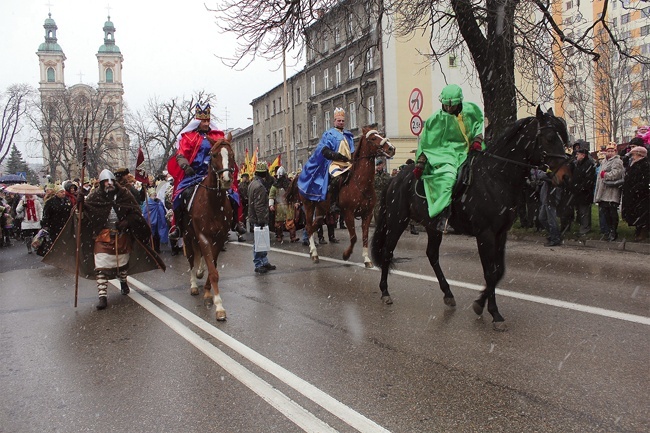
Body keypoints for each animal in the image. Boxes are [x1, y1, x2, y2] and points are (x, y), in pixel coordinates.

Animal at [178, 133, 234, 318]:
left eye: (231, 155)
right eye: (214, 155)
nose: (226, 180)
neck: (213, 203)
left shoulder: (219, 238)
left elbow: (213, 266)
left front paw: (210, 293)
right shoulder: (203, 236)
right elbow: (212, 269)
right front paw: (219, 306)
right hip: (187, 237)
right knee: (190, 260)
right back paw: (194, 285)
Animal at [294, 125, 394, 264]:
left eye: (380, 135)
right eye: (373, 138)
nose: (391, 148)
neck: (360, 183)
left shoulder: (367, 214)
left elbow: (364, 236)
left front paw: (367, 259)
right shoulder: (348, 214)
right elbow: (354, 237)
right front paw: (346, 255)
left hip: (321, 210)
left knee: (314, 226)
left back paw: (312, 250)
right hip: (309, 206)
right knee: (308, 227)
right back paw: (314, 253)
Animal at [370, 106, 568, 330]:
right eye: (550, 137)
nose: (564, 175)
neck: (496, 176)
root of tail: (395, 178)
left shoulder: (501, 233)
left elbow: (499, 271)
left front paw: (481, 304)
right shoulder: (485, 234)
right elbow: (490, 272)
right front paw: (493, 313)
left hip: (432, 226)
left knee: (432, 255)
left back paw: (448, 293)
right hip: (397, 221)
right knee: (388, 252)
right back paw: (385, 291)